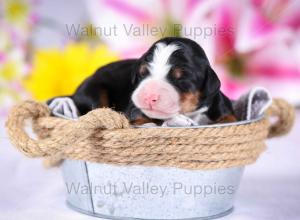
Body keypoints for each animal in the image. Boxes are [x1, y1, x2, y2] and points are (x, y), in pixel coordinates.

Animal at [47, 37, 237, 125]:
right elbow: (148, 118)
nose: (149, 97)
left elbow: (229, 117)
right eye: (143, 74)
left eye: (181, 79)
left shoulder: (220, 104)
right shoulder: (135, 110)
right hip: (94, 90)